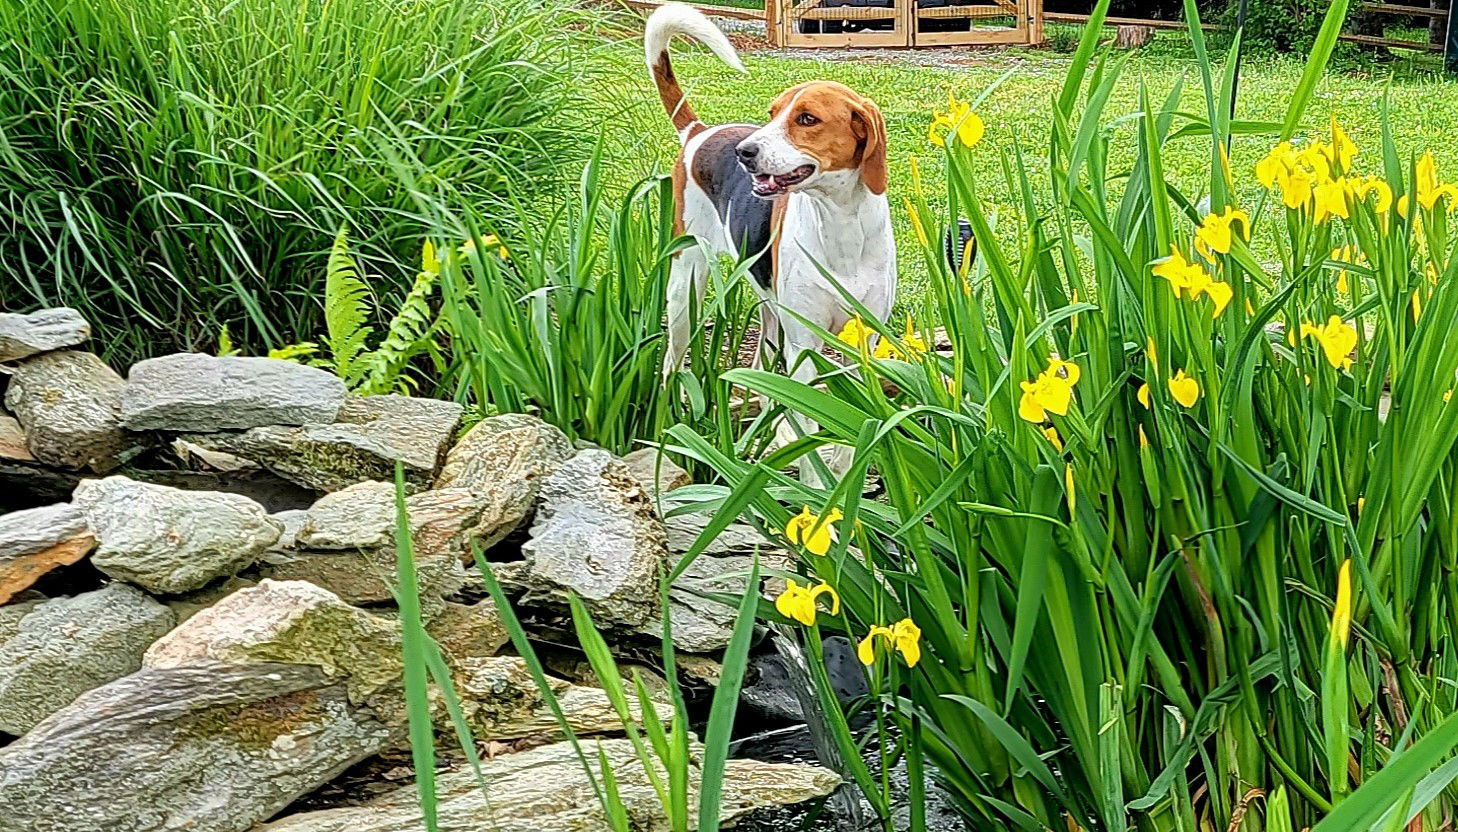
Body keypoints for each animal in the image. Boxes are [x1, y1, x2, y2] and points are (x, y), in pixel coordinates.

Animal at [644, 2, 892, 390]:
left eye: (807, 119)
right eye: (773, 114)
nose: (744, 152)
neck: (840, 223)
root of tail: (699, 133)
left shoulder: (862, 341)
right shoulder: (803, 345)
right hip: (686, 283)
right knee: (673, 358)